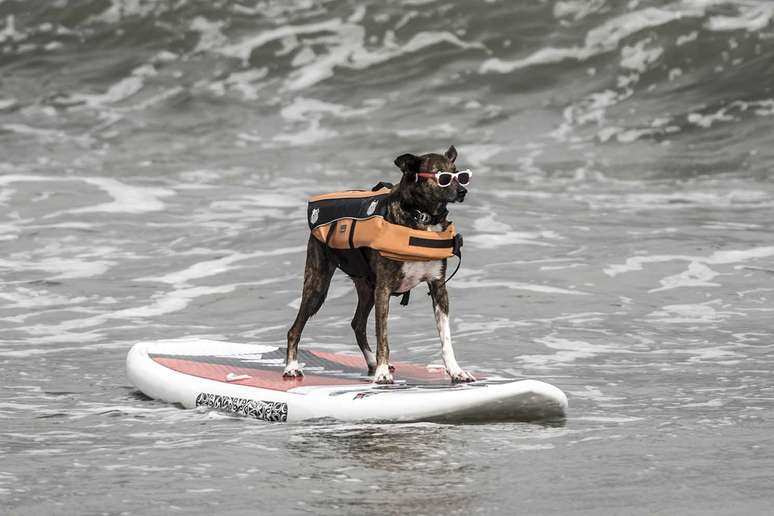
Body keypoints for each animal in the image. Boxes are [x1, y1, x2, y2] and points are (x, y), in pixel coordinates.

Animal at [284, 145, 476, 382]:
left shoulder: (439, 288)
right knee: (295, 329)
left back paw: (371, 362)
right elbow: (382, 336)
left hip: (367, 289)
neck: (421, 217)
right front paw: (383, 372)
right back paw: (291, 367)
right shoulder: (384, 290)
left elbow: (446, 338)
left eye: (459, 174)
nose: (462, 192)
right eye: (442, 176)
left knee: (357, 324)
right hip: (318, 286)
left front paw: (456, 370)